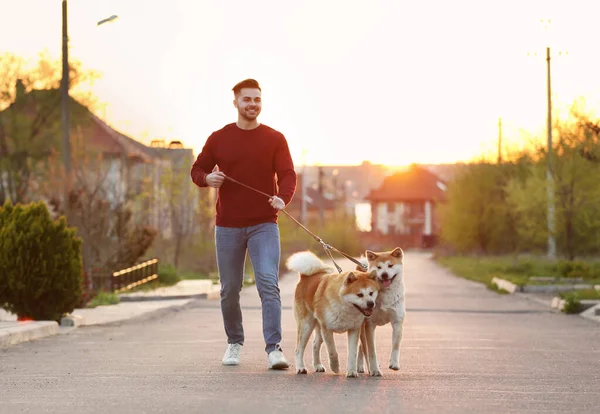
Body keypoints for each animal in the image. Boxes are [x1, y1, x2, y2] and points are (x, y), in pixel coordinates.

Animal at [358, 247, 406, 376]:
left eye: (390, 265)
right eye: (378, 267)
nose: (384, 274)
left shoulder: (397, 321)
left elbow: (395, 345)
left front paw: (394, 363)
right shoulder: (369, 325)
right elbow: (371, 350)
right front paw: (374, 369)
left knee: (360, 347)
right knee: (362, 347)